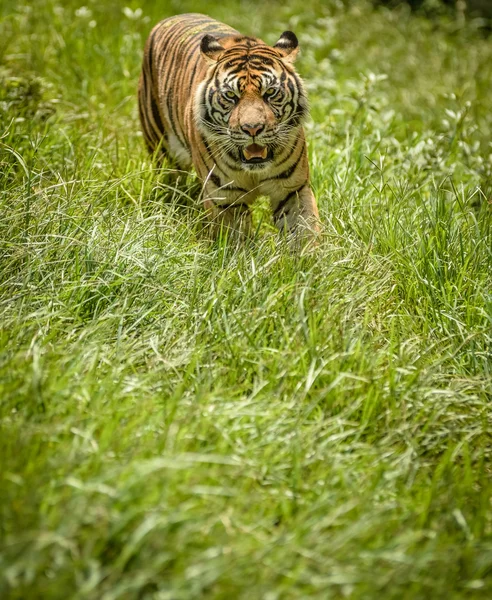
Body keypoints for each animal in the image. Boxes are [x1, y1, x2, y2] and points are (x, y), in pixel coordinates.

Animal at [138, 14, 320, 239]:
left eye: (270, 92)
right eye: (231, 95)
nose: (253, 128)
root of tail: (172, 17)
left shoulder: (293, 190)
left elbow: (304, 233)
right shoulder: (224, 199)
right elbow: (234, 241)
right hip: (163, 153)